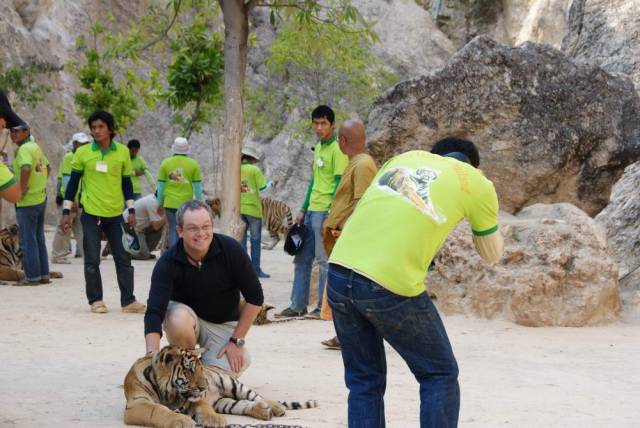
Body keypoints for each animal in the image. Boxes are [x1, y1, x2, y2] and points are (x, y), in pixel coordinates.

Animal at [123, 344, 318, 428]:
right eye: (189, 370)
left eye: (200, 369)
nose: (204, 388)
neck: (169, 393)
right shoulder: (137, 404)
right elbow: (157, 410)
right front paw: (181, 420)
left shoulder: (195, 399)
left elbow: (203, 408)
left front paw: (215, 420)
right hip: (224, 402)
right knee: (244, 405)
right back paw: (263, 411)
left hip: (232, 384)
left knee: (257, 396)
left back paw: (275, 407)